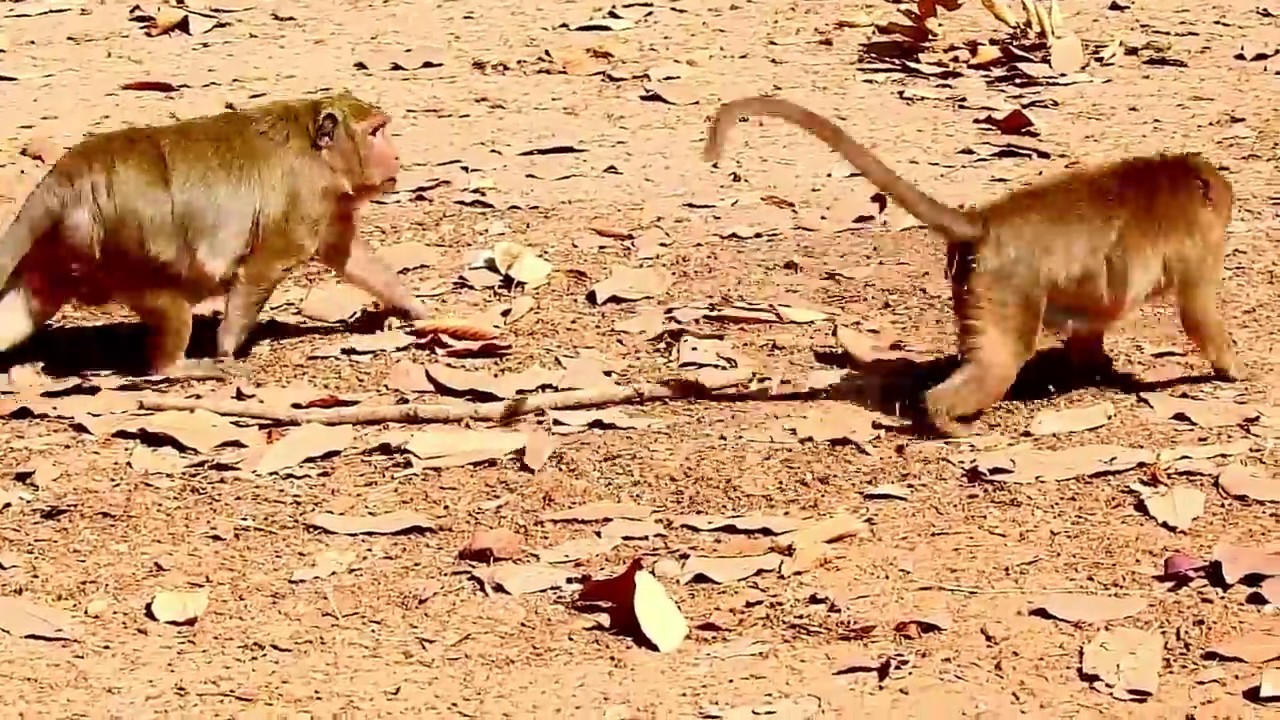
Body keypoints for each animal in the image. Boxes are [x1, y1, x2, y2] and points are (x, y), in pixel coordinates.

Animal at [0, 90, 434, 378]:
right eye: (376, 133)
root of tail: (65, 177)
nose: (397, 156)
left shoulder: (328, 207)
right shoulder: (305, 195)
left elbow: (348, 256)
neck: (318, 153)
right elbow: (263, 268)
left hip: (61, 252)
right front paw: (227, 346)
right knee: (169, 300)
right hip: (126, 249)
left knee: (26, 304)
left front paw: (415, 308)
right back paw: (175, 366)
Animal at [702, 95, 1245, 435]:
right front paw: (1233, 368)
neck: (1175, 182)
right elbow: (1196, 312)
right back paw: (943, 418)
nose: (1229, 200)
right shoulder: (1200, 245)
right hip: (1005, 286)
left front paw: (1094, 365)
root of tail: (985, 222)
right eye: (1222, 197)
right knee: (1000, 361)